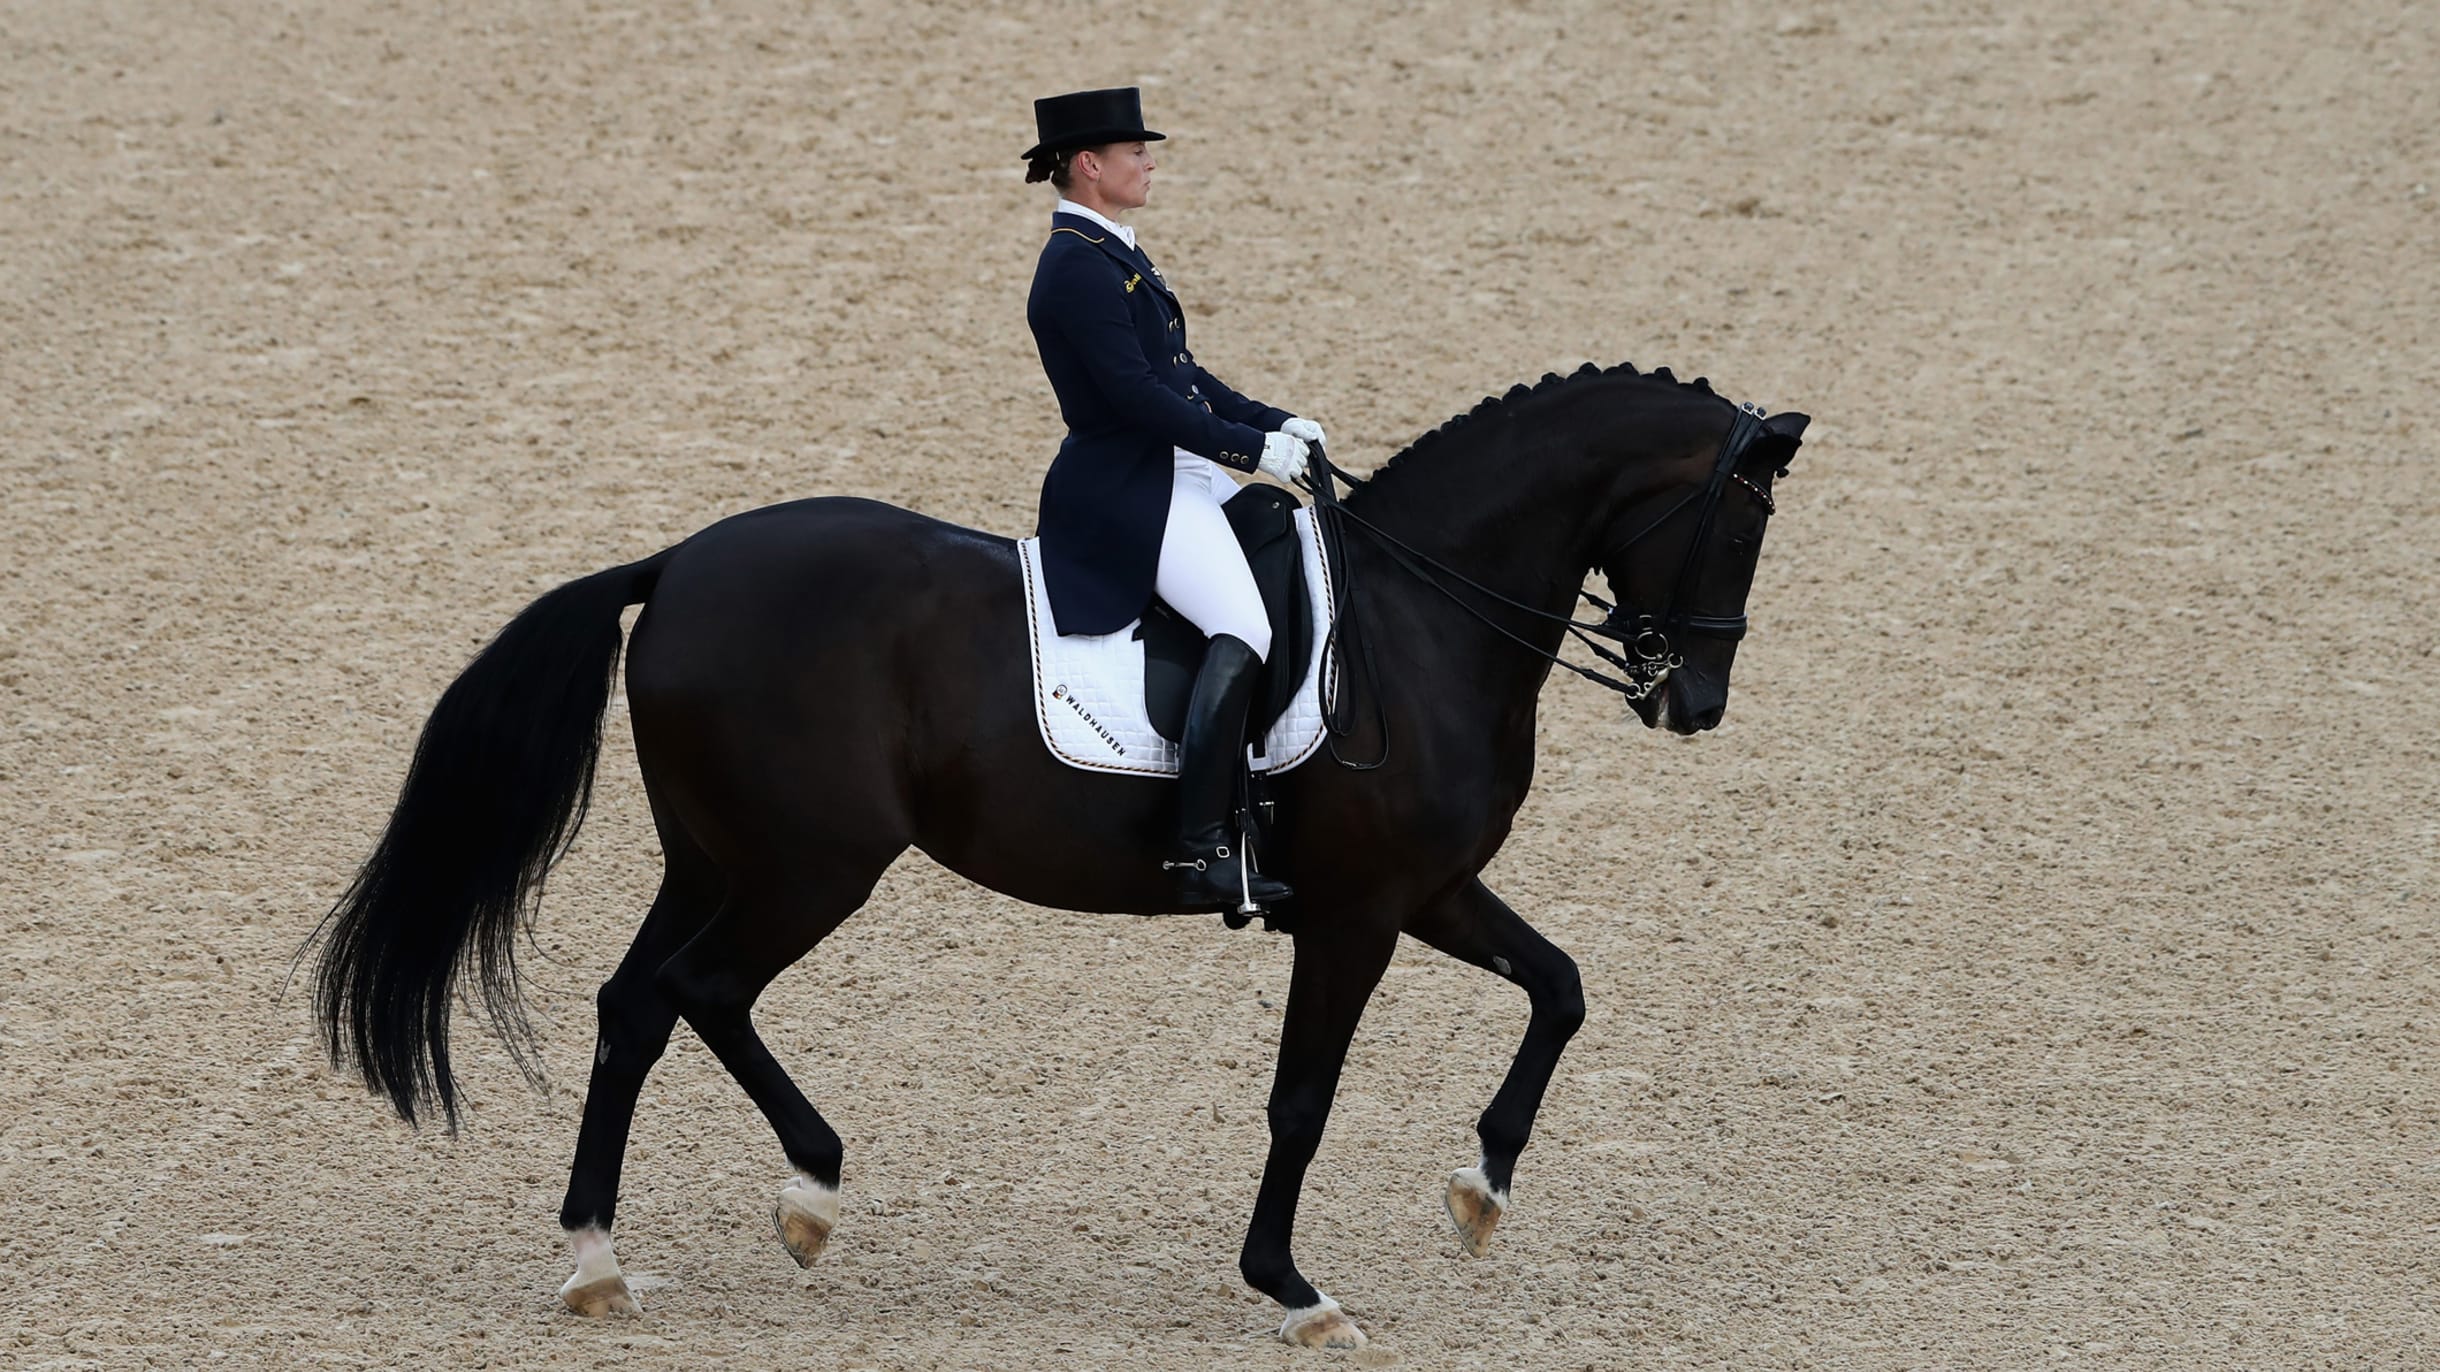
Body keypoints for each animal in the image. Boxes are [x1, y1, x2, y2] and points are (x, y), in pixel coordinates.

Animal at [307, 361, 1807, 1350]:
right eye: (1739, 521)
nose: (1695, 701)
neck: (1420, 619)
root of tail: (676, 565)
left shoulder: (1426, 890)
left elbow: (1560, 988)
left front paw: (1481, 1192)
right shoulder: (1360, 912)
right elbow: (1303, 1099)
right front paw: (1293, 1286)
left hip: (719, 859)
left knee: (642, 1006)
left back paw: (617, 1255)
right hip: (807, 868)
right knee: (695, 994)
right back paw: (782, 1201)